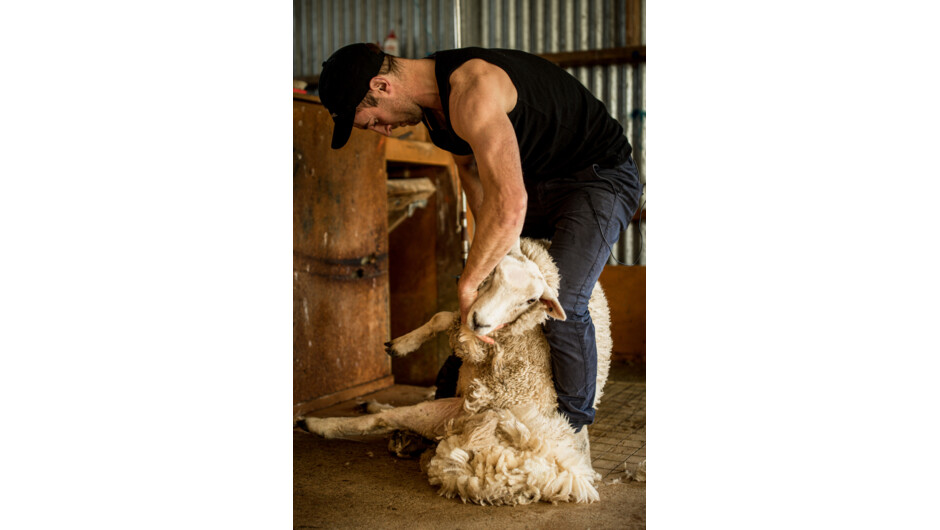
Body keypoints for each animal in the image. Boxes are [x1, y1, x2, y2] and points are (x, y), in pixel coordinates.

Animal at [303, 237, 612, 505]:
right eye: (494, 273)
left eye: (530, 301)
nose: (480, 321)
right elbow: (442, 317)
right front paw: (403, 343)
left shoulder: (481, 342)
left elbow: (447, 320)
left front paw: (402, 345)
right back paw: (378, 411)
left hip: (445, 412)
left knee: (383, 419)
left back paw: (317, 423)